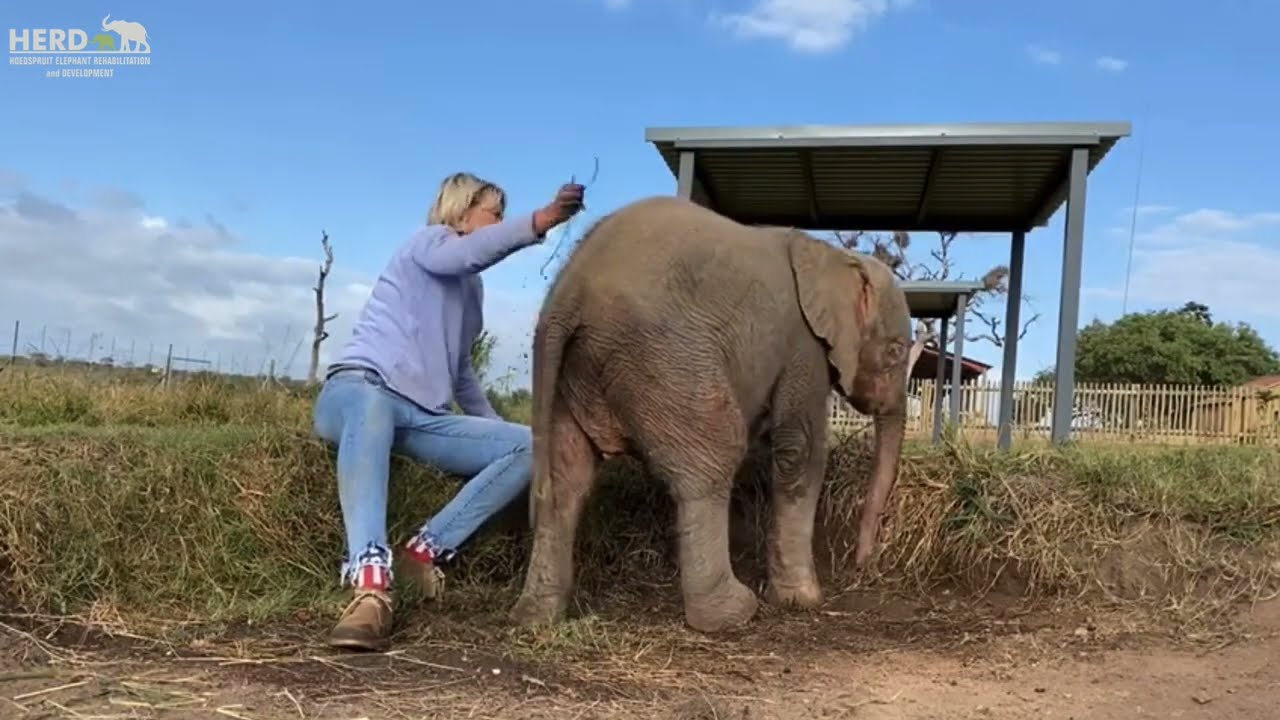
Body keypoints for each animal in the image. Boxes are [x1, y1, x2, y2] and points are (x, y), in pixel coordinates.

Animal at [509, 195, 913, 633]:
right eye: (895, 352)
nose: (862, 563)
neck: (834, 257)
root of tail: (569, 294)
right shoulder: (804, 345)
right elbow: (799, 450)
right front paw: (803, 601)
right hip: (667, 360)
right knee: (713, 460)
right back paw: (733, 613)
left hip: (572, 371)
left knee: (567, 477)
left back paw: (537, 618)